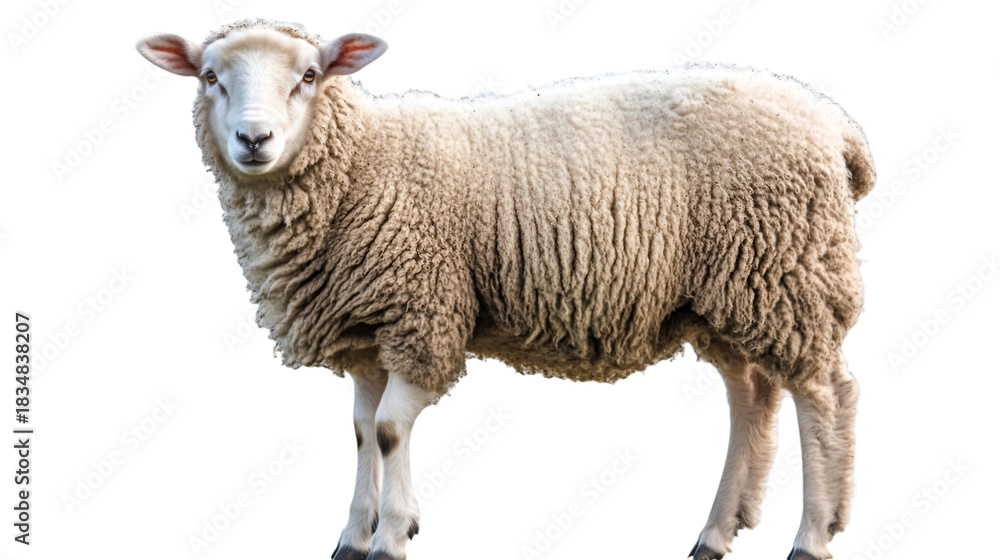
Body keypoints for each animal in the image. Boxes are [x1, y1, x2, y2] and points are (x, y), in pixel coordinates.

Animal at [136, 18, 874, 560]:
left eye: (309, 77)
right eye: (210, 77)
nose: (252, 138)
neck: (359, 168)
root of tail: (835, 125)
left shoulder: (423, 313)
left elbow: (390, 431)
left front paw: (392, 536)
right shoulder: (369, 334)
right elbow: (360, 432)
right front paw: (352, 535)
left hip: (788, 273)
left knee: (823, 396)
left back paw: (811, 537)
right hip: (732, 294)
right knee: (753, 395)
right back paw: (716, 532)